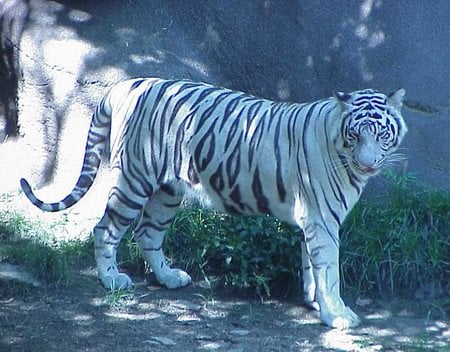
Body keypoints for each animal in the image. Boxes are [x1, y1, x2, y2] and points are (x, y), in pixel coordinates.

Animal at [20, 78, 408, 328]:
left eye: (381, 134)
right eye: (355, 135)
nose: (367, 164)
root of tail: (126, 85)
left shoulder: (311, 221)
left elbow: (312, 266)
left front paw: (315, 302)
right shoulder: (323, 220)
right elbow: (329, 269)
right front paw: (337, 314)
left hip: (168, 191)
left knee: (147, 233)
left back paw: (169, 277)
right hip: (134, 179)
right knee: (106, 228)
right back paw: (112, 279)